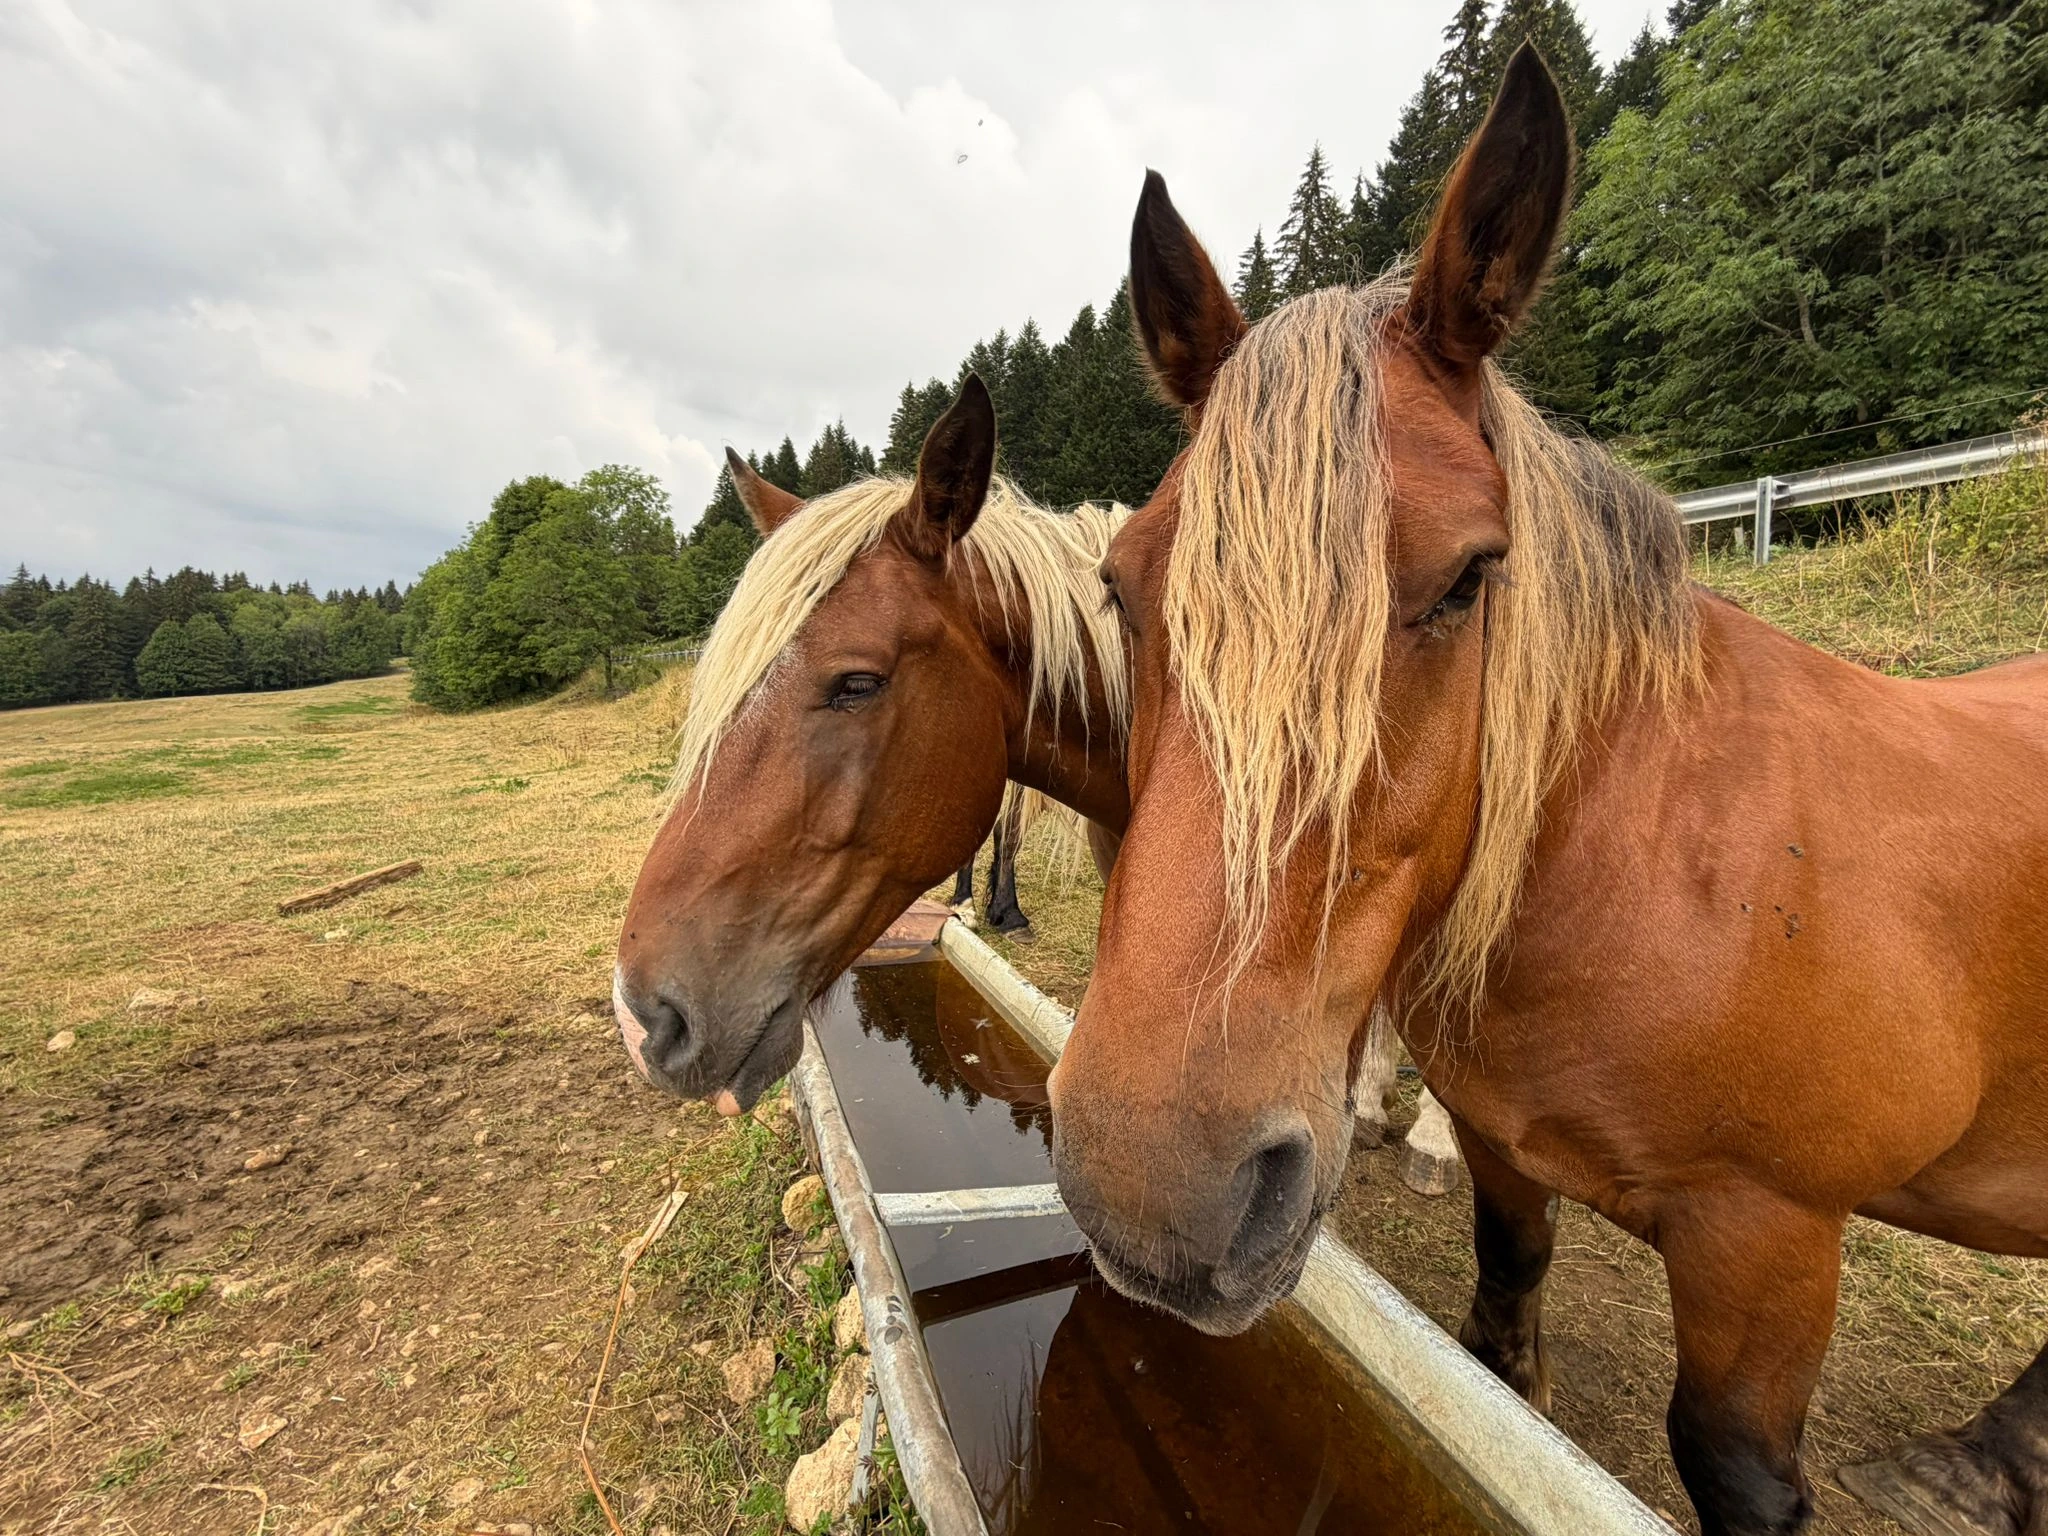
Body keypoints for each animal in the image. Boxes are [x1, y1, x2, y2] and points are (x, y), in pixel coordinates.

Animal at [1047, 44, 2048, 1536]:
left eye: (1470, 575)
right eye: (1121, 588)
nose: (1153, 1190)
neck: (1664, 875)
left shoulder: (1771, 1245)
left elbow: (1735, 1467)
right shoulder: (1505, 1156)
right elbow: (1500, 1342)